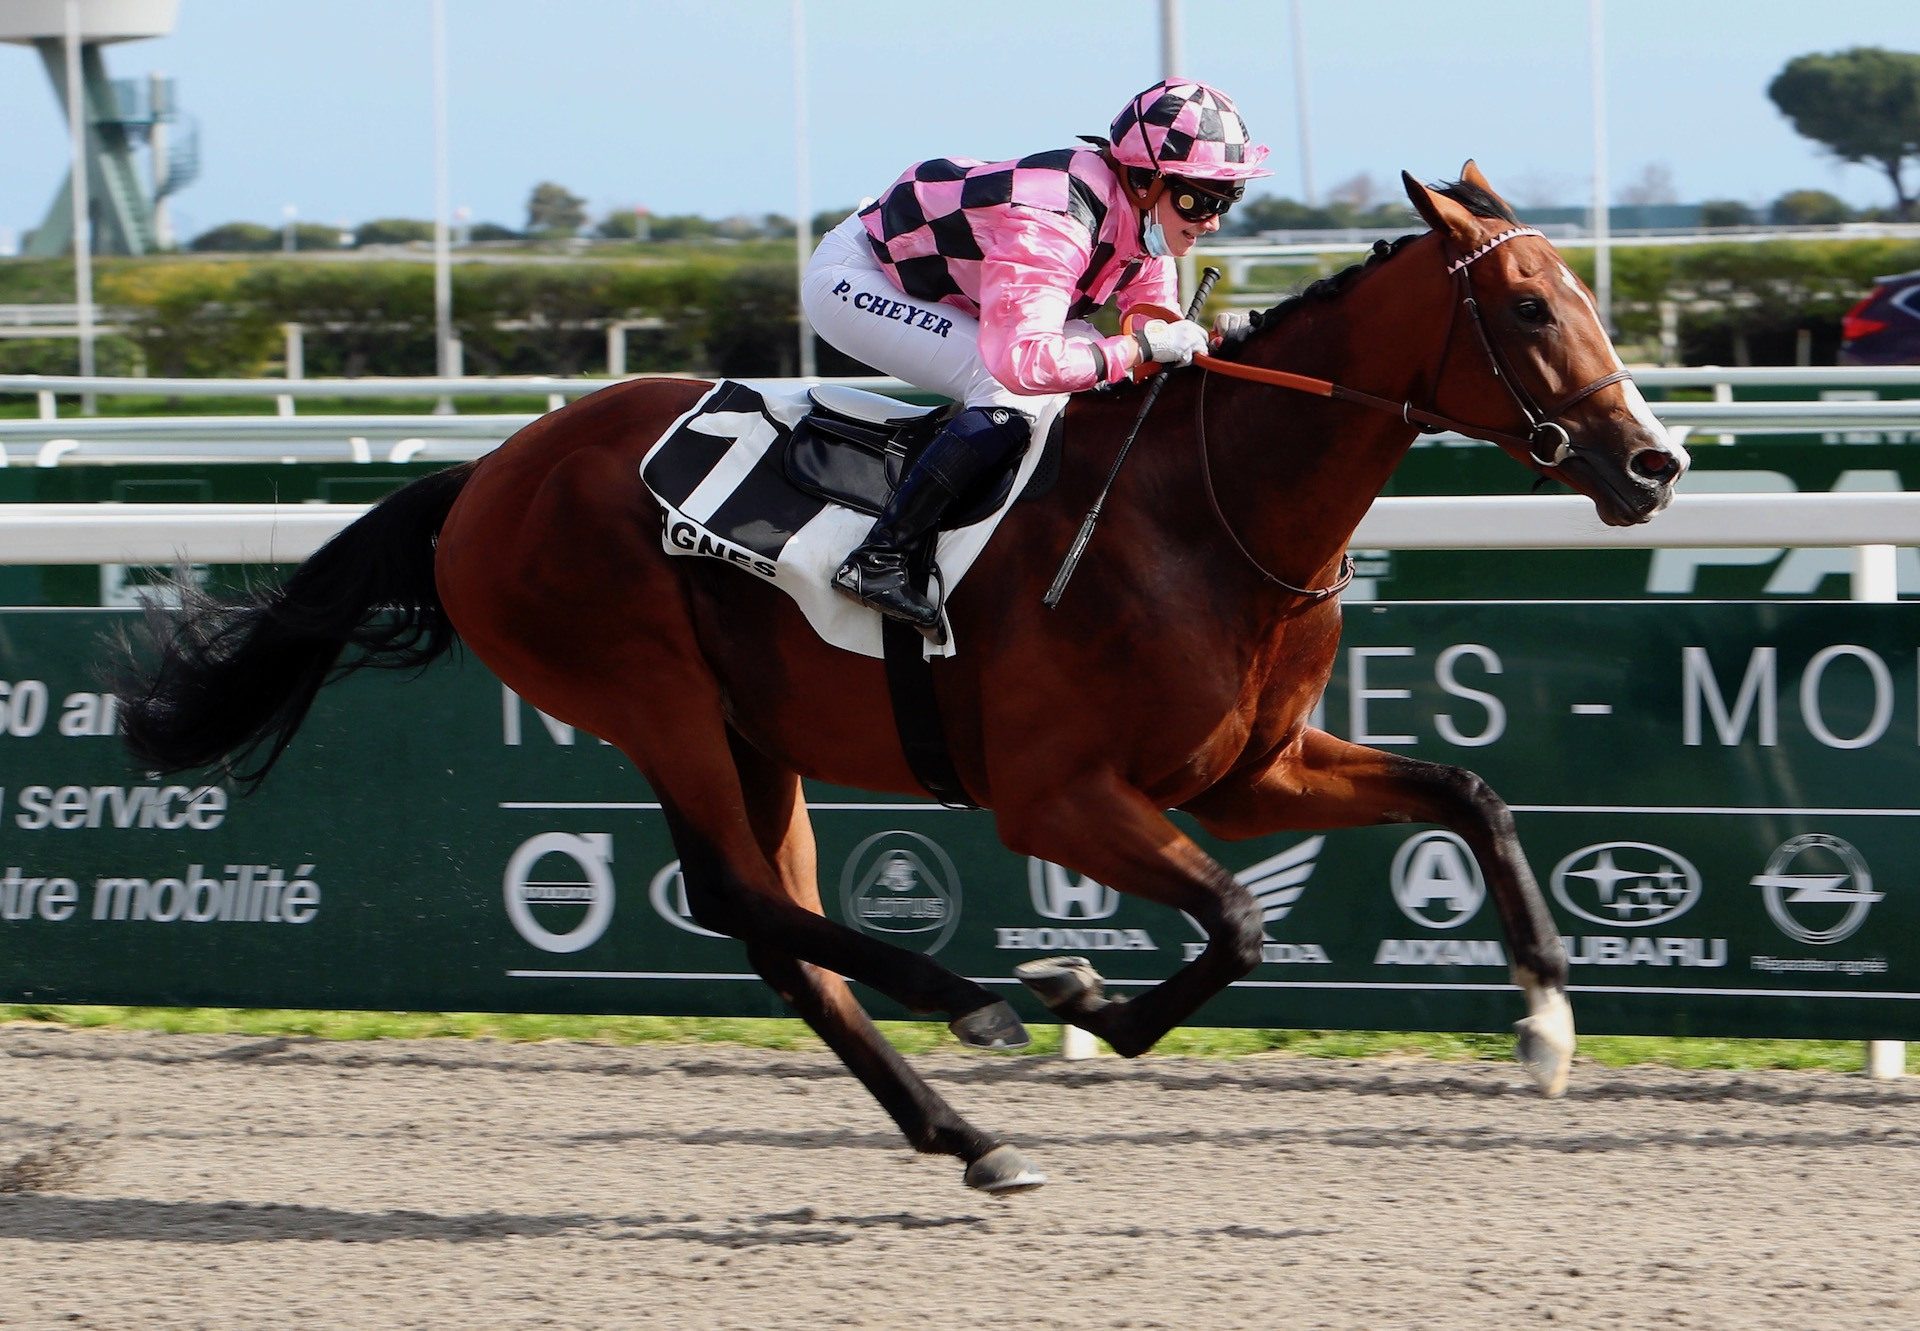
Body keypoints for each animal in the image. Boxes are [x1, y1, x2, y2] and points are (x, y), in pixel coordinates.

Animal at [112, 166, 1689, 1190]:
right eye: (1533, 310)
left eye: (1583, 294)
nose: (1655, 462)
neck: (1203, 510)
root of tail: (484, 476)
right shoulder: (1055, 795)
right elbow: (1240, 922)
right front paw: (1084, 995)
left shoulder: (1247, 772)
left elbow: (1468, 791)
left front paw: (1546, 1024)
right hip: (652, 699)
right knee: (744, 898)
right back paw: (977, 1002)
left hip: (751, 732)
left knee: (776, 935)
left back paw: (967, 1131)